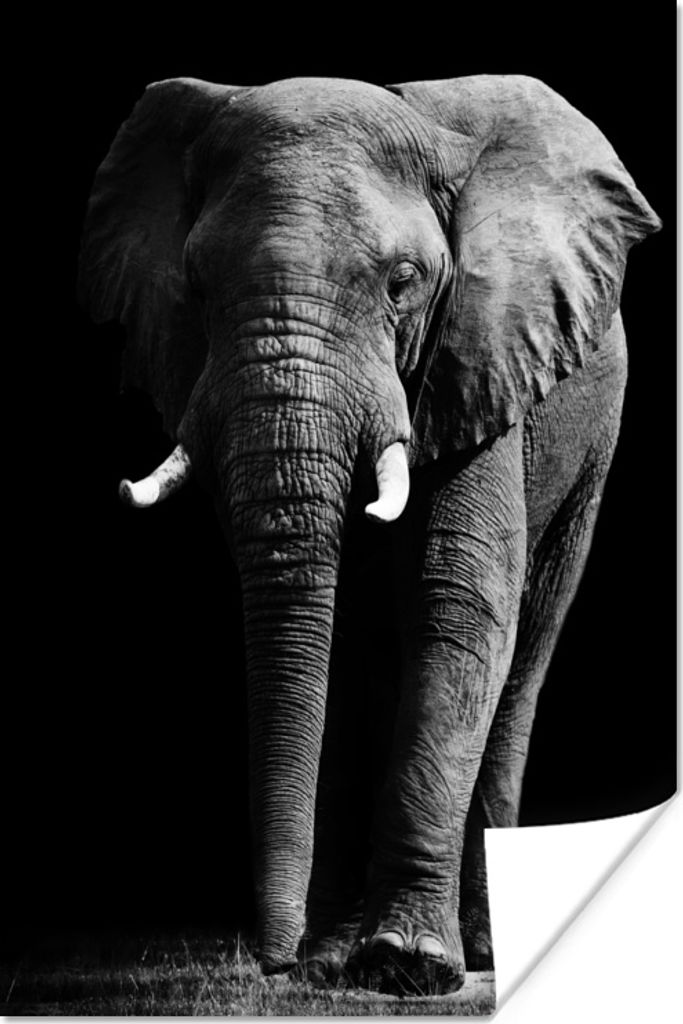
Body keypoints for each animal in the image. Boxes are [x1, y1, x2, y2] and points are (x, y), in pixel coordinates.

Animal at [78, 73, 660, 995]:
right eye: (195, 286)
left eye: (403, 281)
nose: (271, 963)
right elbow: (338, 637)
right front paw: (333, 963)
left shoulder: (480, 356)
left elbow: (459, 605)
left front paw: (406, 965)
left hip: (591, 449)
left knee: (524, 657)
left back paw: (482, 950)